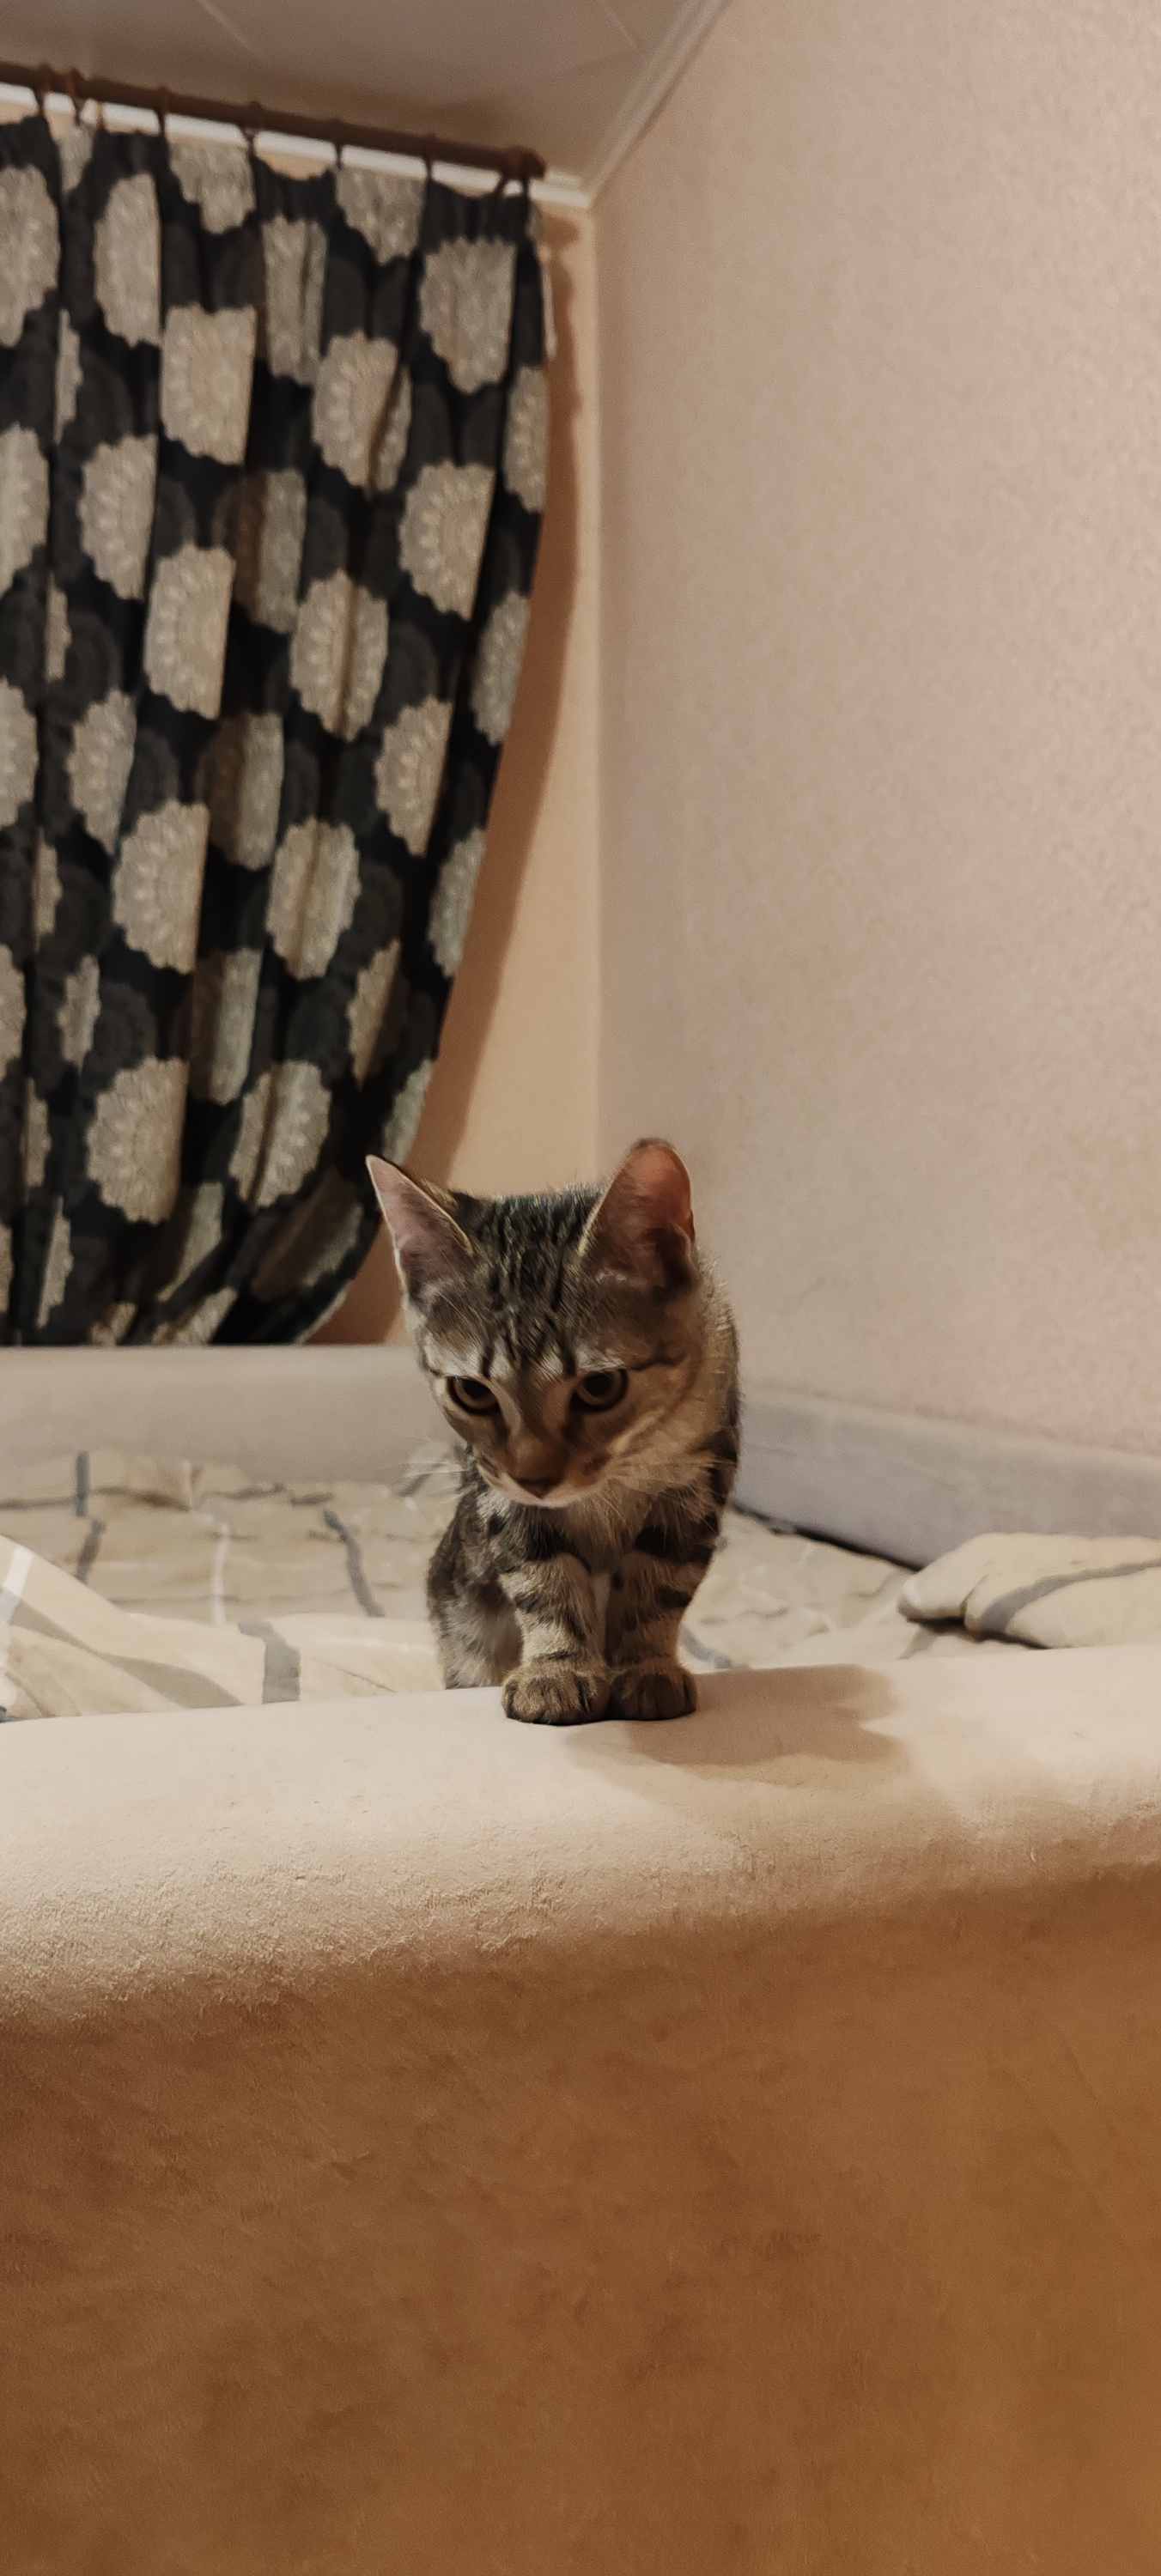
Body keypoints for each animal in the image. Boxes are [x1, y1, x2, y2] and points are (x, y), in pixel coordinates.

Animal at [367, 1139, 738, 1725]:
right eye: (472, 1392)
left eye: (601, 1386)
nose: (535, 1479)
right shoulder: (502, 1501)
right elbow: (543, 1581)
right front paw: (556, 1670)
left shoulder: (697, 1483)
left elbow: (659, 1585)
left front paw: (646, 1666)